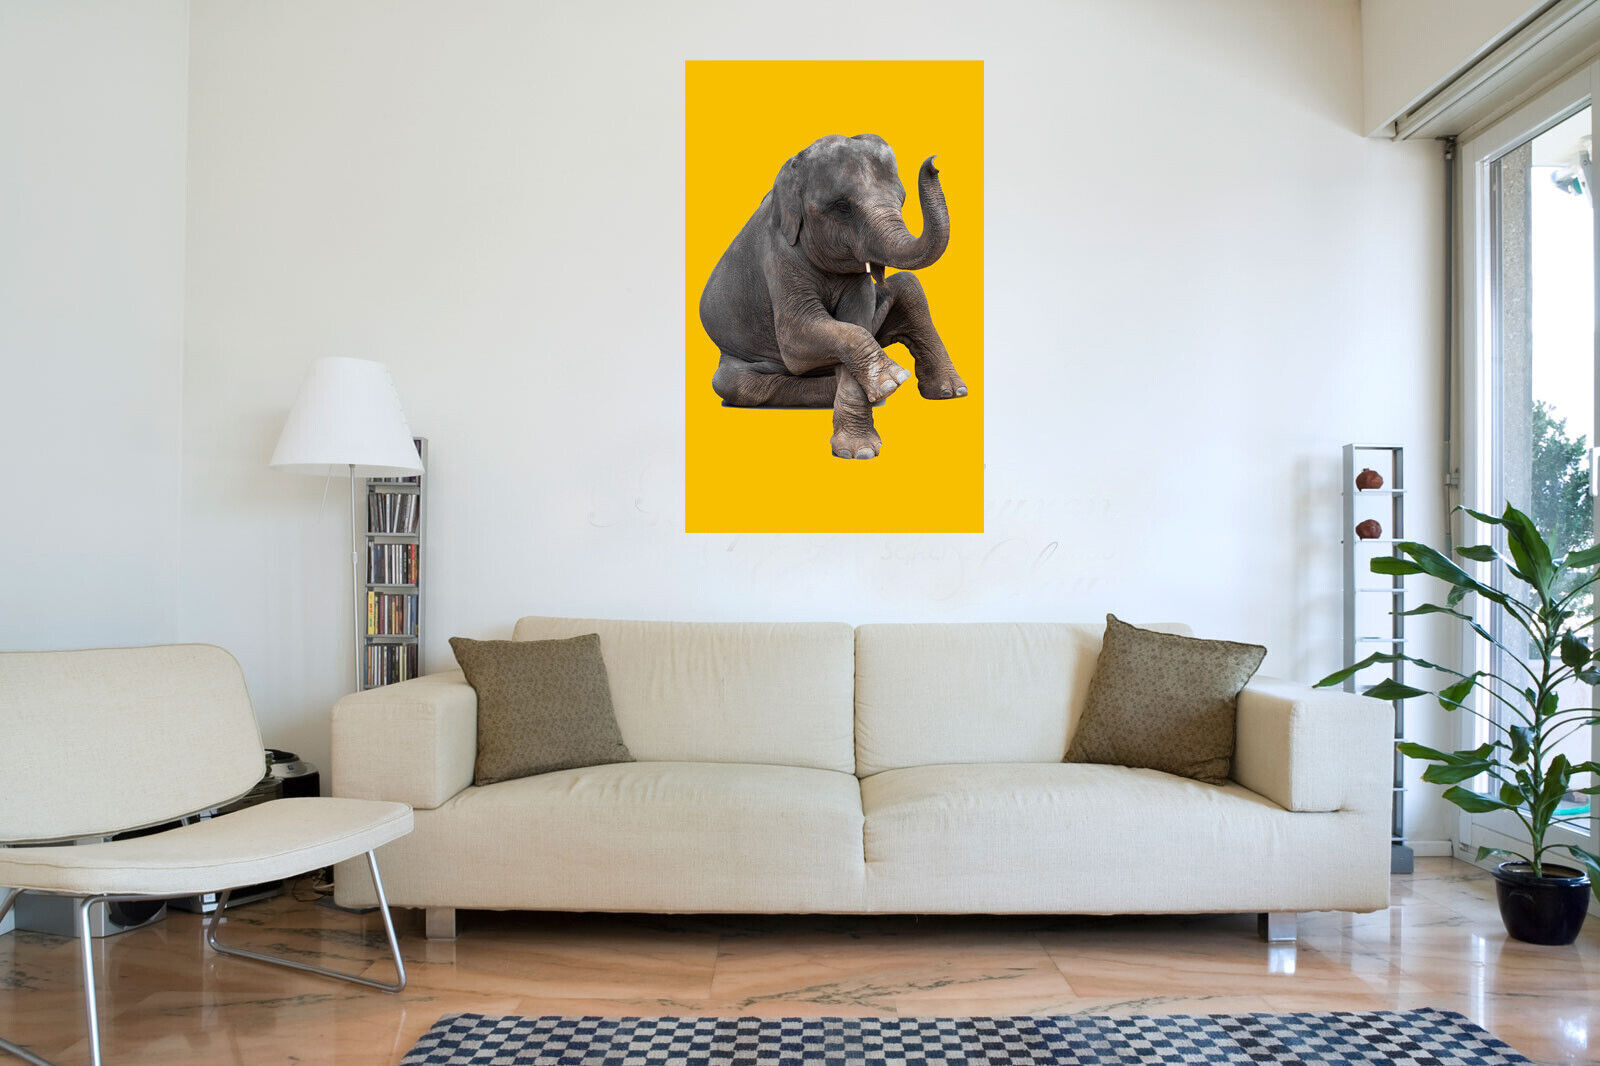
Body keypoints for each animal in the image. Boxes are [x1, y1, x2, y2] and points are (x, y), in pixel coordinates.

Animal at [699, 134, 966, 460]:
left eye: (902, 200)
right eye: (841, 207)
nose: (934, 163)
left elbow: (856, 323)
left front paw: (859, 447)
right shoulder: (779, 254)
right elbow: (797, 339)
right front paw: (891, 383)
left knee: (908, 285)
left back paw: (951, 392)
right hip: (735, 361)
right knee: (735, 384)